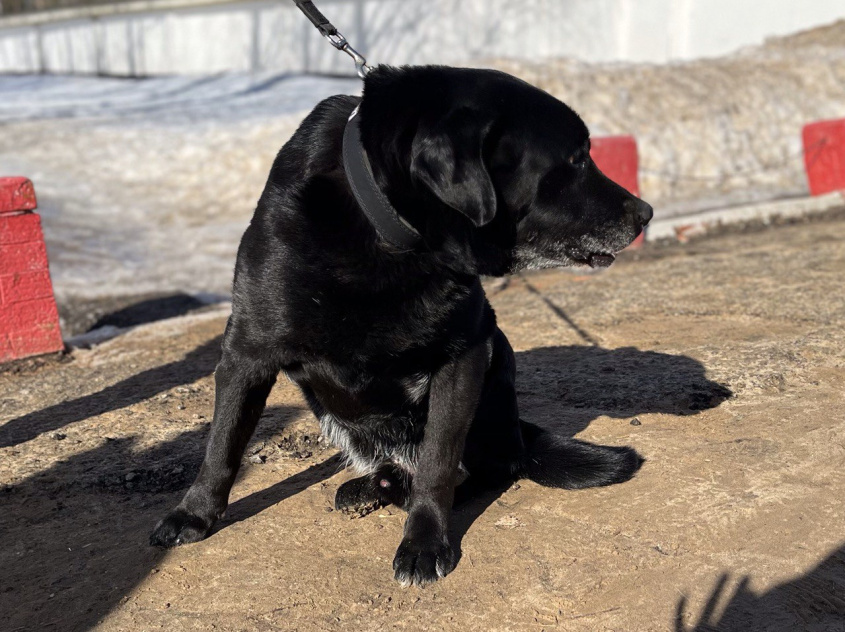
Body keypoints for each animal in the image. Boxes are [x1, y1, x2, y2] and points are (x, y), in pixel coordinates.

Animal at [152, 65, 652, 588]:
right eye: (576, 160)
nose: (647, 213)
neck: (388, 231)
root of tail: (516, 431)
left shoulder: (465, 356)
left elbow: (438, 462)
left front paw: (425, 541)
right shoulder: (246, 352)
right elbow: (222, 442)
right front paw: (194, 513)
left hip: (495, 374)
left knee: (486, 469)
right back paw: (373, 484)